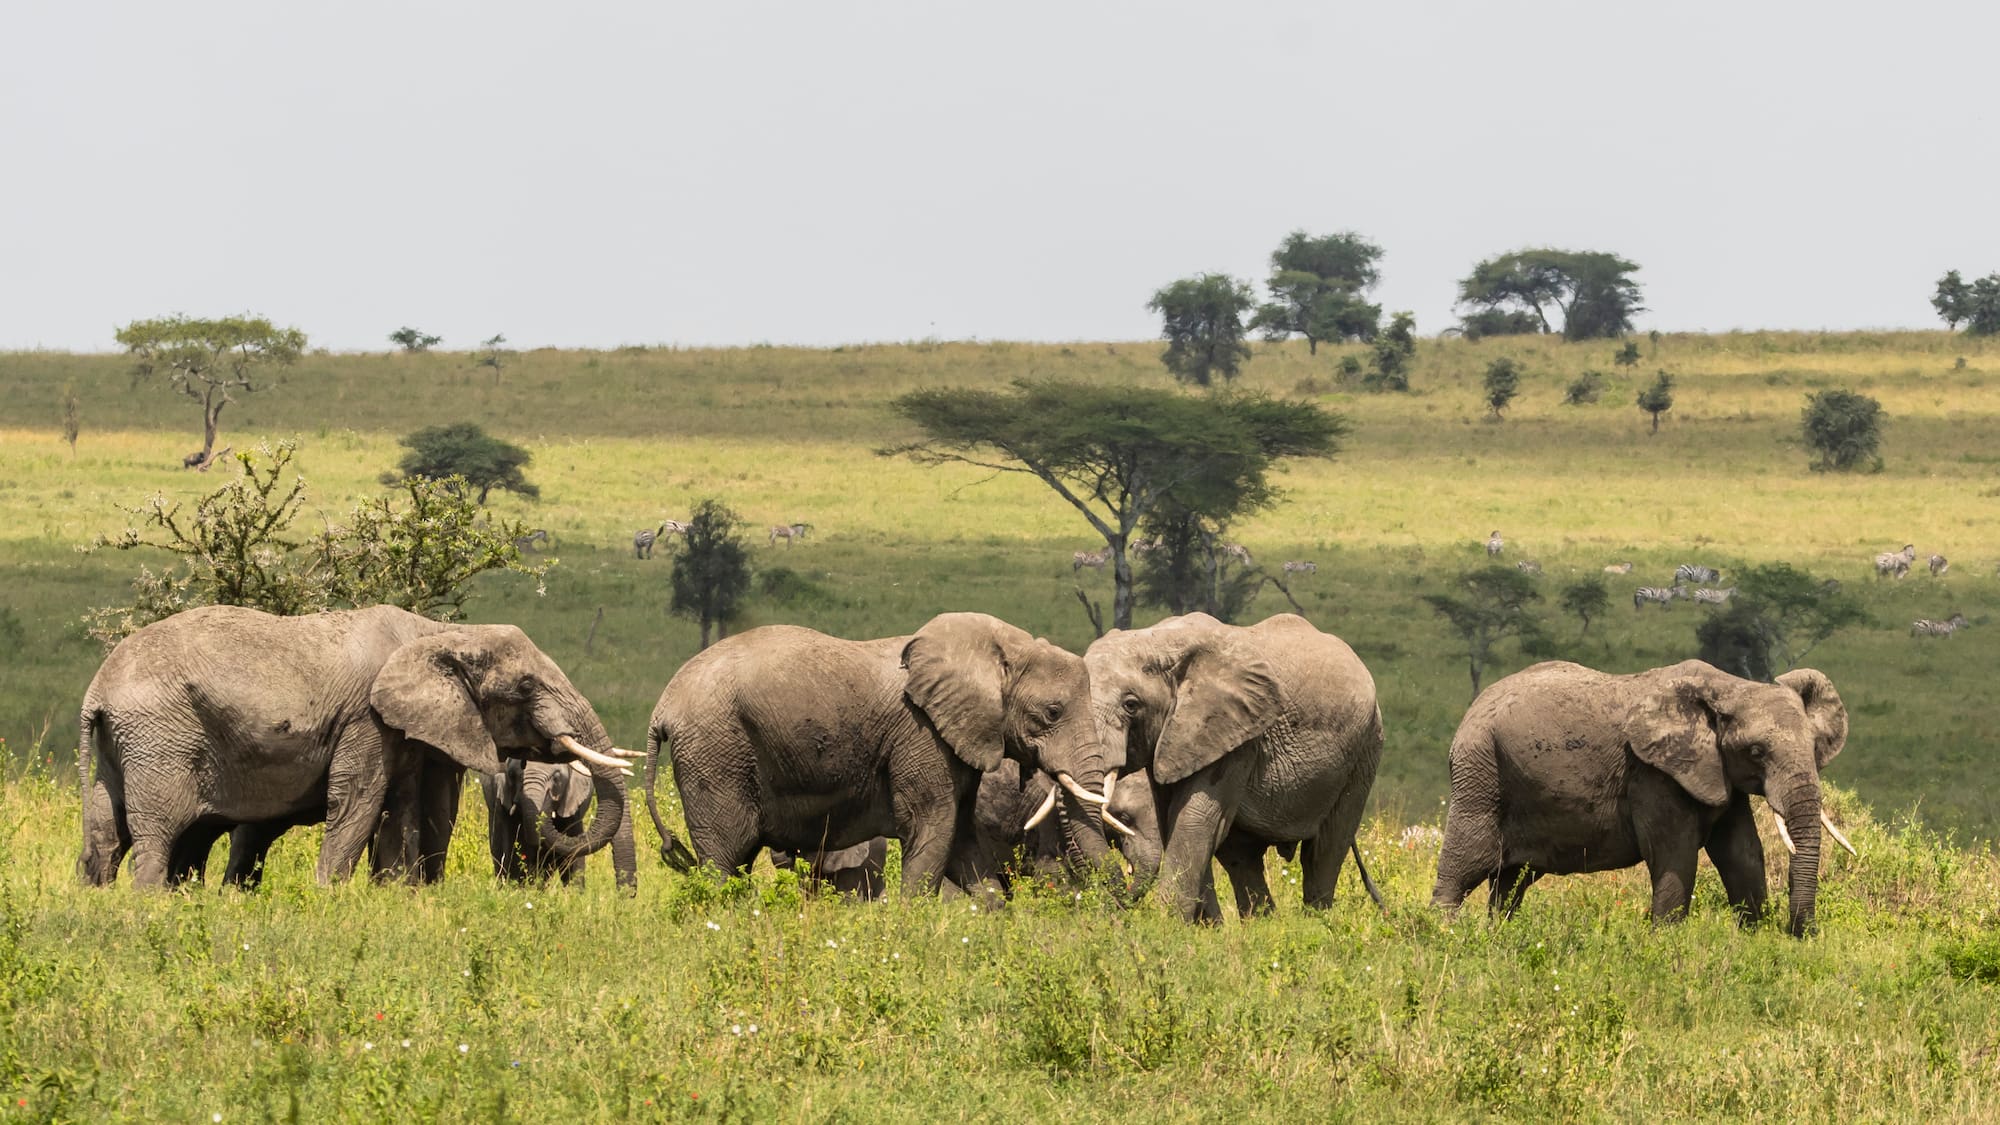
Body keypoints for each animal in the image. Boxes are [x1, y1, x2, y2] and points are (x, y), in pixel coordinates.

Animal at [644, 612, 1120, 899]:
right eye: (1052, 712)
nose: (1123, 886)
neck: (1001, 648)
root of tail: (661, 707)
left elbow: (961, 838)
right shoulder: (921, 734)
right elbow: (931, 828)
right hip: (715, 752)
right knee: (725, 856)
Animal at [1084, 613, 1385, 921]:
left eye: (1131, 705)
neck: (1158, 640)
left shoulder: (1236, 737)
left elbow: (1193, 819)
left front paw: (1169, 924)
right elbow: (1175, 821)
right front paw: (1203, 927)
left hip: (1364, 751)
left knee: (1324, 849)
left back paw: (1316, 921)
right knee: (1242, 856)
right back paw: (1261, 923)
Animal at [1428, 659, 1849, 936]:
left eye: (1814, 747)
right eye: (1757, 751)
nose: (1804, 932)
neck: (1729, 686)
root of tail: (1472, 710)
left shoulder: (1718, 773)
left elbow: (1742, 853)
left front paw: (1754, 939)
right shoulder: (1652, 773)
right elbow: (1674, 854)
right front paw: (1666, 946)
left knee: (1512, 881)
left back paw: (1498, 938)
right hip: (1480, 771)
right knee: (1466, 863)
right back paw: (1442, 936)